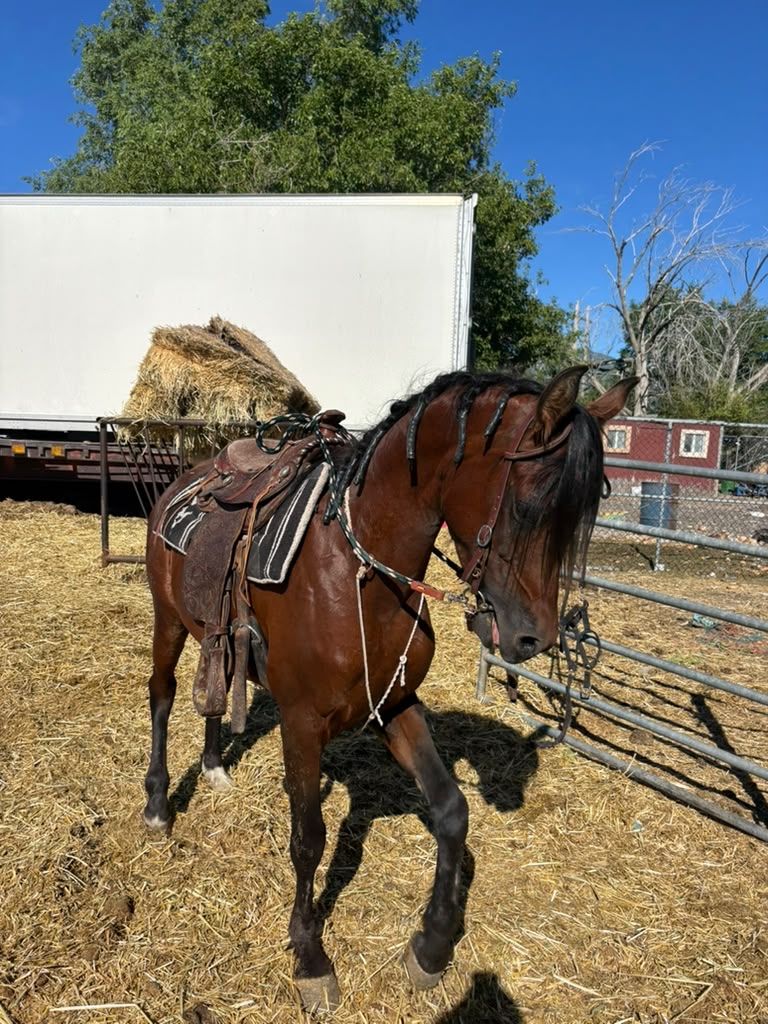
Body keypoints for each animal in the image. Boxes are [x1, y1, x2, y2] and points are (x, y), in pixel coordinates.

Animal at [143, 365, 636, 1011]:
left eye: (582, 518)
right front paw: (309, 956)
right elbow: (308, 838)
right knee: (162, 694)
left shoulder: (395, 705)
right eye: (529, 503)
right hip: (168, 620)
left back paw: (213, 765)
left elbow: (452, 810)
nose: (534, 639)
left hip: (213, 634)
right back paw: (157, 805)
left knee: (213, 688)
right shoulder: (302, 723)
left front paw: (432, 943)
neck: (359, 573)